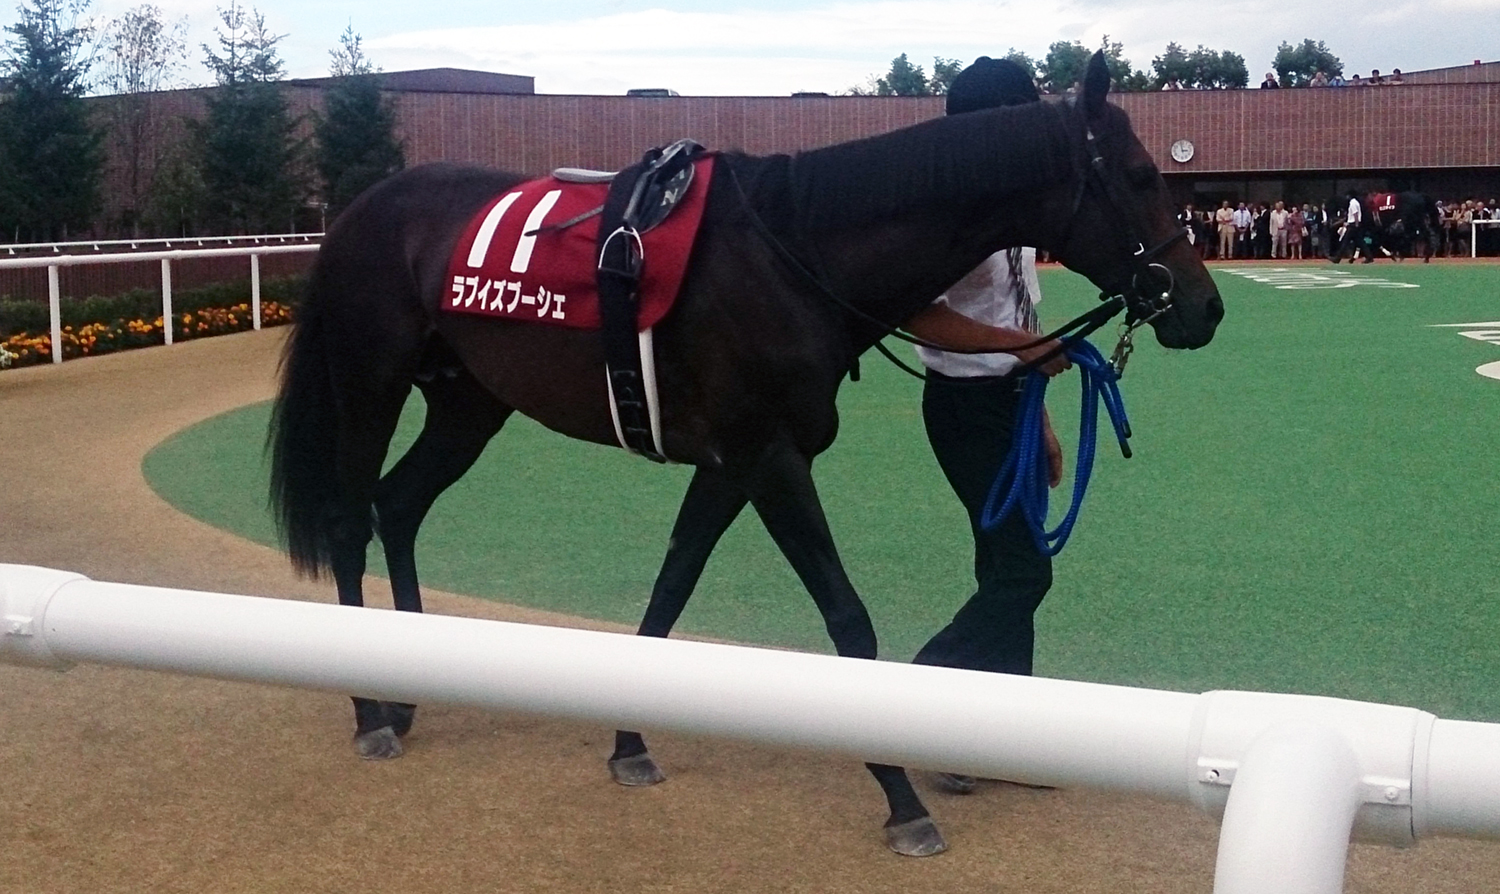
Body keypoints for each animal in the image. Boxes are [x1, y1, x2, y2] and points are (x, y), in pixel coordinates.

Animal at [270, 52, 1224, 858]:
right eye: (1141, 177)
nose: (1203, 306)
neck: (796, 251)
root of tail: (355, 214)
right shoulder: (769, 459)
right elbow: (846, 618)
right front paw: (901, 798)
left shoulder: (730, 461)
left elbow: (674, 582)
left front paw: (629, 739)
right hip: (371, 383)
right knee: (351, 520)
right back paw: (370, 712)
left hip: (470, 402)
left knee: (399, 505)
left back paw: (406, 686)